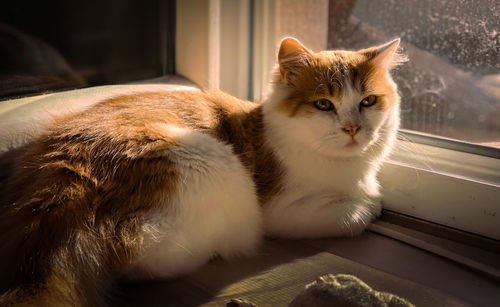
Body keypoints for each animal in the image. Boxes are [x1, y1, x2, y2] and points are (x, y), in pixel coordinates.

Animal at [0, 37, 406, 306]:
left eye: (368, 101)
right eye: (324, 104)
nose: (353, 129)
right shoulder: (281, 210)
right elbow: (360, 211)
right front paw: (369, 204)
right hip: (210, 165)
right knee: (140, 256)